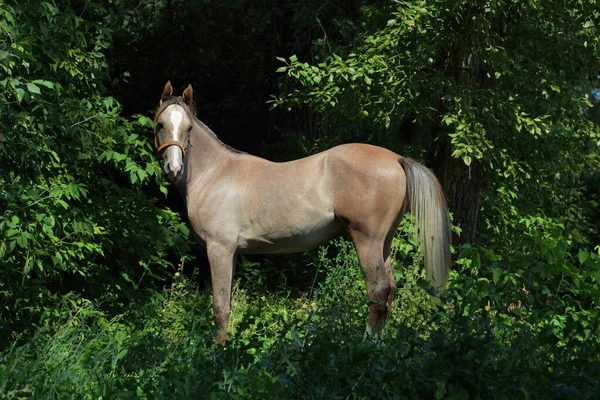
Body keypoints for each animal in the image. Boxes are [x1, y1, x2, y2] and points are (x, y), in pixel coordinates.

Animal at [154, 81, 450, 344]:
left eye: (188, 127)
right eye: (160, 125)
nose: (174, 169)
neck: (214, 174)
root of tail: (397, 159)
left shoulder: (219, 249)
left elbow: (220, 307)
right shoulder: (232, 252)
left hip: (367, 241)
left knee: (378, 291)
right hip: (384, 243)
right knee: (389, 291)